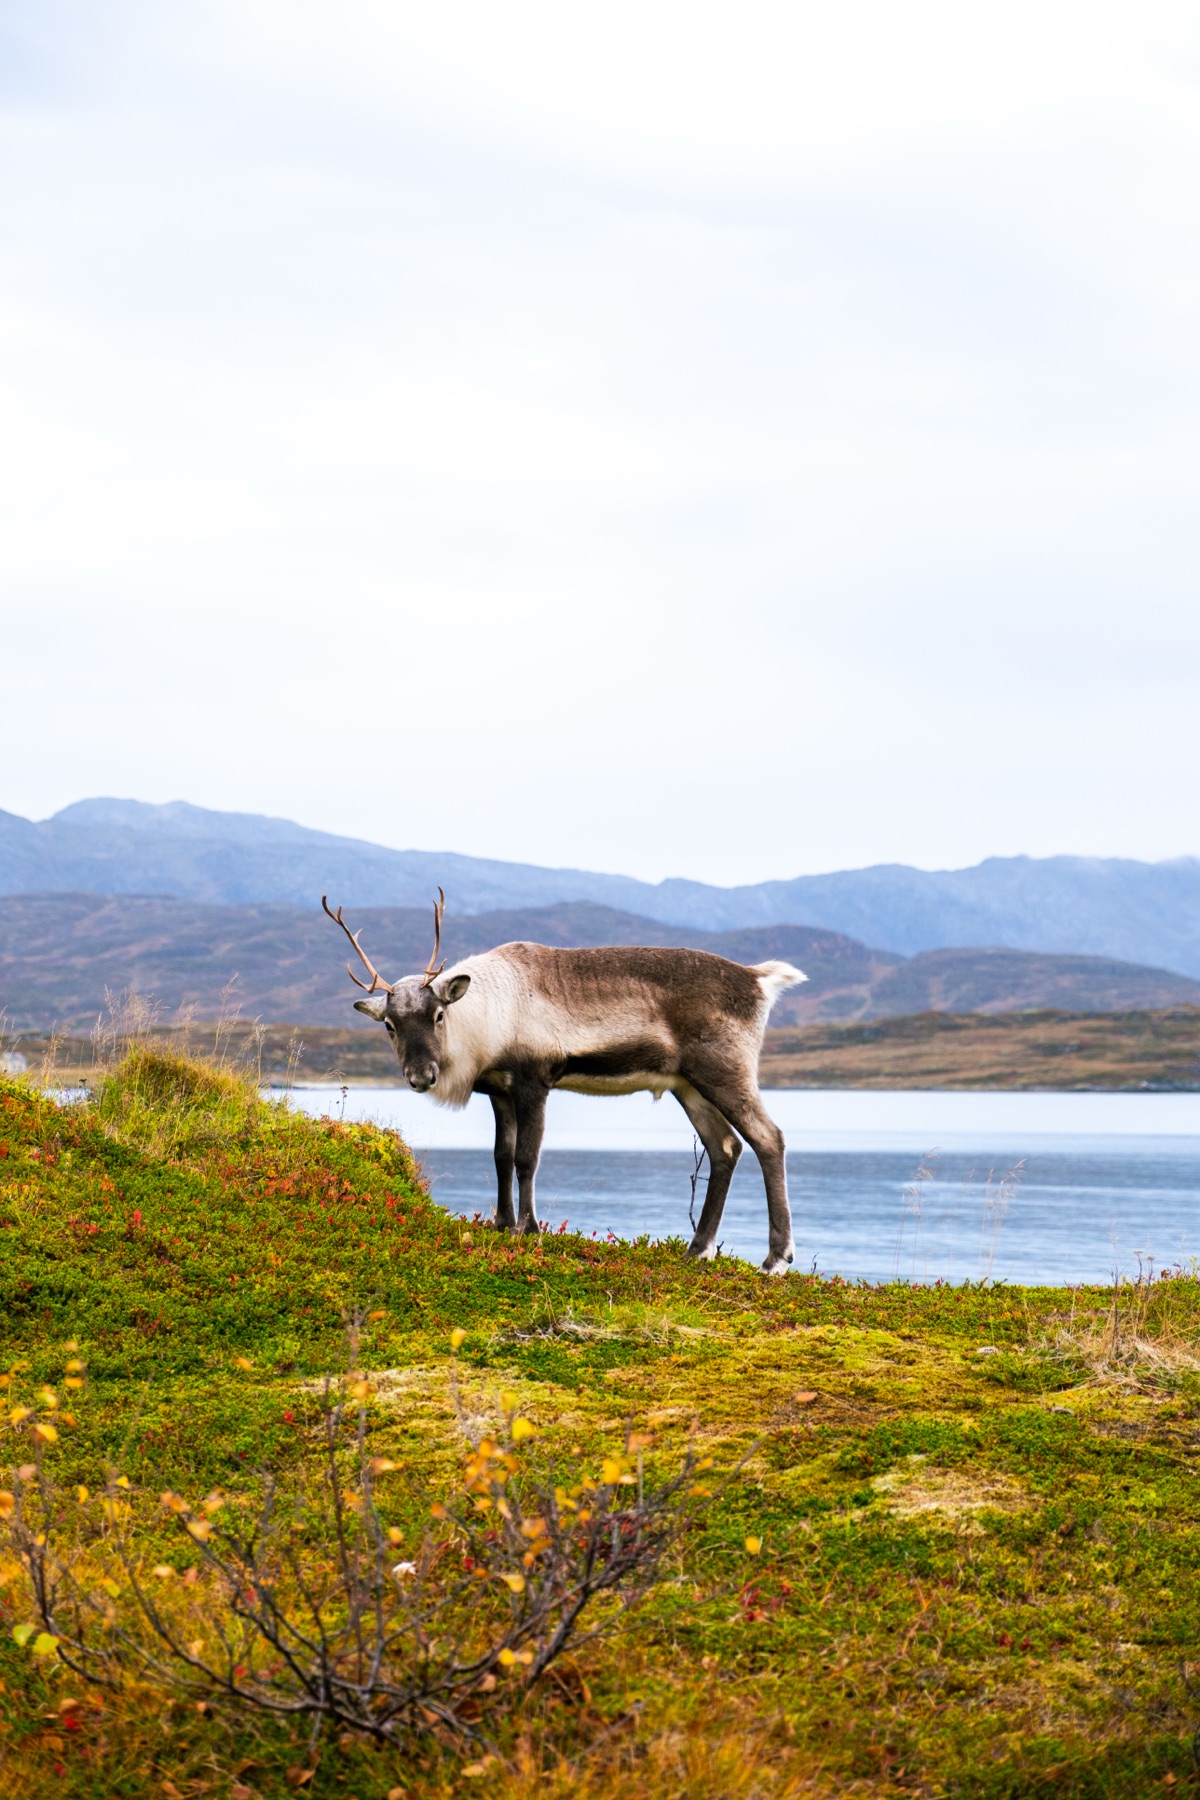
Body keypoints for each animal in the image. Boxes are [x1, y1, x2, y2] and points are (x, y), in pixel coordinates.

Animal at [322, 892, 807, 1274]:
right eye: (389, 1025)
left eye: (438, 1015)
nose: (421, 1076)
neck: (487, 1021)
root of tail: (757, 980)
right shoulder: (500, 1091)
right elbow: (500, 1156)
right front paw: (502, 1224)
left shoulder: (534, 1081)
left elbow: (526, 1158)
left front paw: (529, 1229)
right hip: (686, 1085)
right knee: (724, 1147)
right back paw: (697, 1249)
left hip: (724, 1070)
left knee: (768, 1138)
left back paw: (775, 1258)